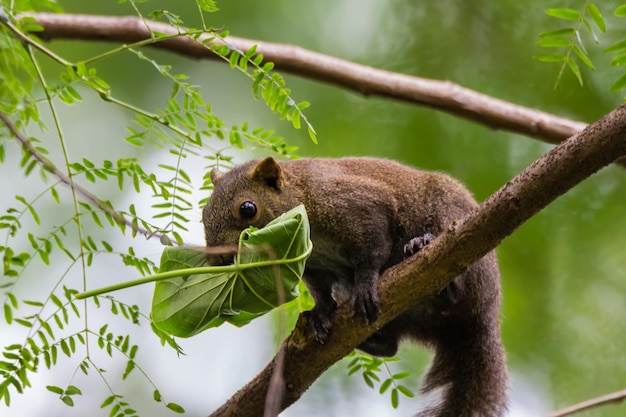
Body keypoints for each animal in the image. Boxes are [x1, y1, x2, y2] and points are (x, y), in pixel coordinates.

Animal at [202, 157, 504, 416]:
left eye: (247, 209)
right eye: (204, 213)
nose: (215, 259)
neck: (304, 195)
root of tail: (484, 318)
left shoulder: (361, 207)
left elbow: (371, 254)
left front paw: (366, 285)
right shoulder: (313, 266)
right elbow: (322, 294)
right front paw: (319, 314)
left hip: (455, 224)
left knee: (457, 280)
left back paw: (425, 250)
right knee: (391, 347)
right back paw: (373, 339)